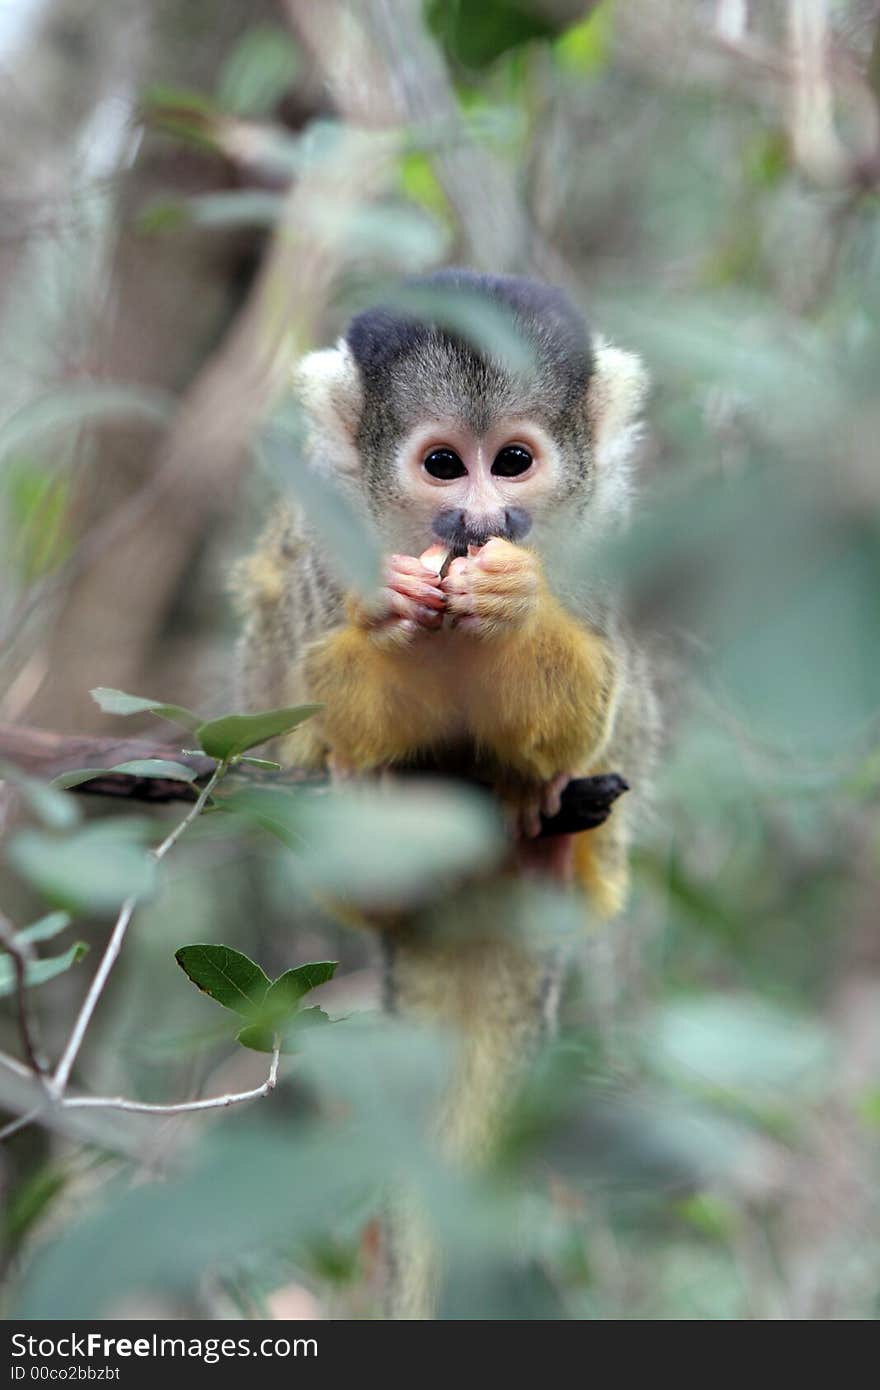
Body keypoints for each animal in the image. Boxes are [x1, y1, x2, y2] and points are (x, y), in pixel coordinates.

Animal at [234, 268, 658, 1312]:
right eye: (441, 464)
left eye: (511, 462)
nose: (478, 521)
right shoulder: (325, 537)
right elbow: (314, 680)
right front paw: (387, 622)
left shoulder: (605, 535)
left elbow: (593, 698)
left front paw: (515, 609)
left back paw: (544, 838)